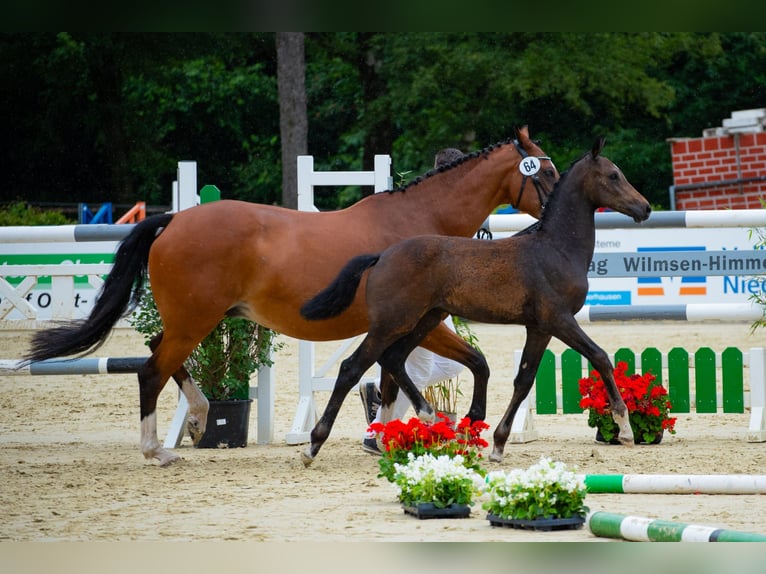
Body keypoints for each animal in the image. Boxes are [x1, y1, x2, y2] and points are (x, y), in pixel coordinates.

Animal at [24, 127, 560, 468]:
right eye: (548, 174)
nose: (558, 216)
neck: (420, 224)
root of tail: (174, 220)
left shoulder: (408, 326)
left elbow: (397, 379)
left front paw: (388, 440)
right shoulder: (414, 323)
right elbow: (439, 368)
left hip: (192, 320)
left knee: (159, 354)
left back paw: (198, 419)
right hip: (196, 321)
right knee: (151, 370)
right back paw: (157, 450)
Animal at [302, 140, 656, 468]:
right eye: (613, 175)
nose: (645, 208)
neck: (556, 248)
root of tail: (382, 256)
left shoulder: (539, 327)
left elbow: (523, 380)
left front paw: (498, 444)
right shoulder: (559, 319)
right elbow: (600, 357)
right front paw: (624, 427)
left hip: (424, 320)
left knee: (393, 359)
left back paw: (427, 414)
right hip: (393, 323)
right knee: (352, 368)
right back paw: (313, 444)